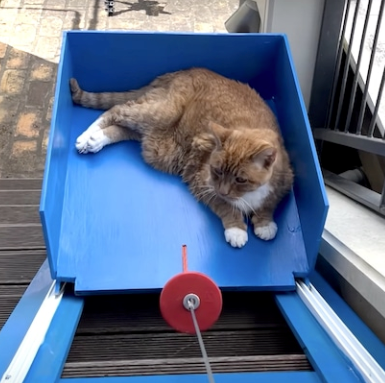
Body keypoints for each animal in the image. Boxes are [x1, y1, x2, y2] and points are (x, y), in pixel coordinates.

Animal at [70, 69, 292, 249]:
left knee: (119, 128)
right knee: (116, 109)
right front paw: (236, 230)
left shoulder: (284, 180)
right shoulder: (203, 181)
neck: (248, 194)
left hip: (151, 135)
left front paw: (265, 223)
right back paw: (85, 137)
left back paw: (94, 141)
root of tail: (181, 71)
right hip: (159, 114)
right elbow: (225, 207)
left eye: (241, 179)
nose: (223, 190)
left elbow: (270, 203)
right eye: (217, 171)